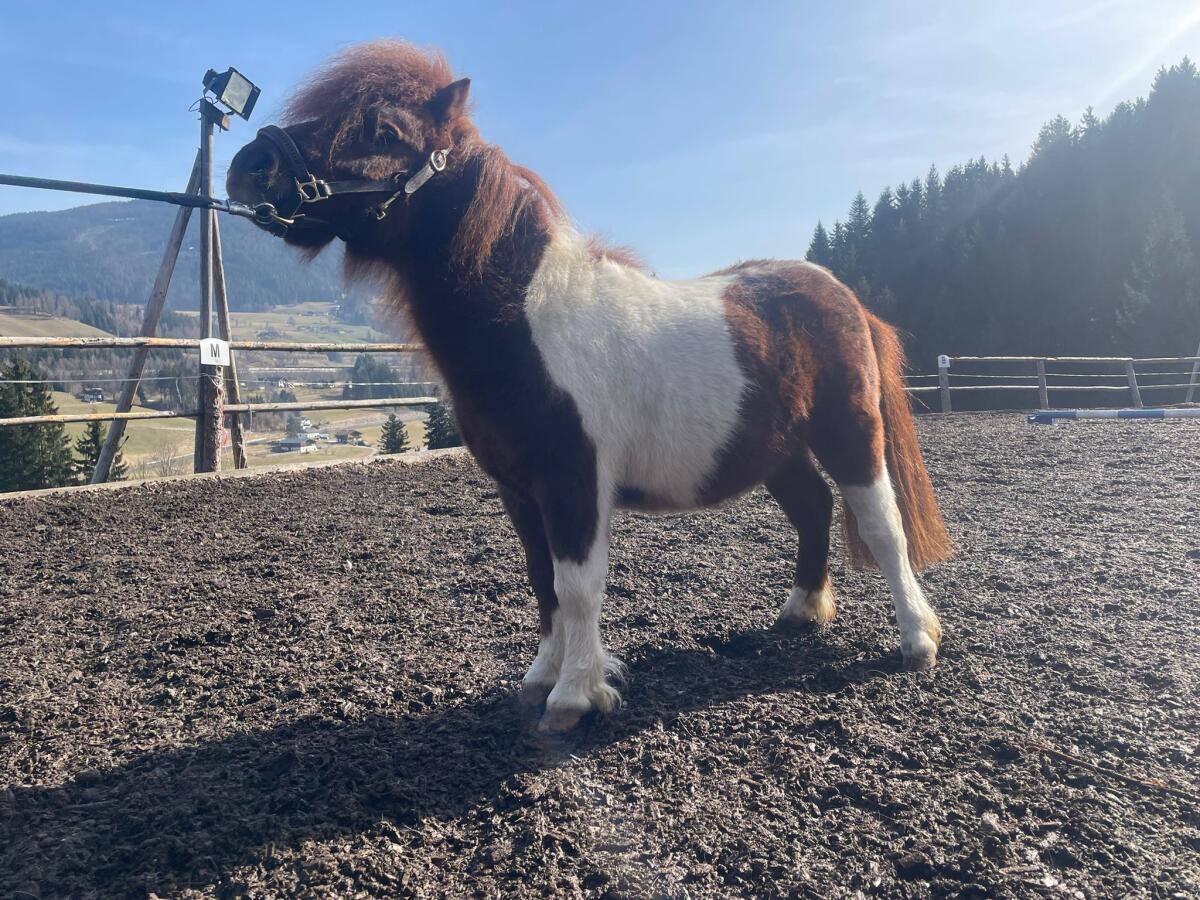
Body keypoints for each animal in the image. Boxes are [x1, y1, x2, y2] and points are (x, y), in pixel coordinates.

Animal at [227, 40, 954, 733]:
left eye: (381, 129)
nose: (248, 166)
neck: (529, 322)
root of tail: (841, 295)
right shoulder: (520, 489)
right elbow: (542, 582)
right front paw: (542, 677)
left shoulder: (573, 481)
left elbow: (578, 586)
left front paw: (576, 696)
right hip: (778, 449)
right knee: (812, 508)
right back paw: (802, 611)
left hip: (850, 432)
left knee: (882, 524)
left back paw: (917, 639)